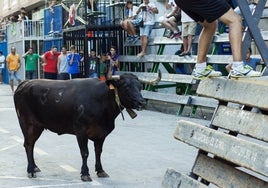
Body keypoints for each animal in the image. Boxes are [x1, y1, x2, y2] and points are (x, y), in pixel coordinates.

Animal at [13, 72, 159, 182]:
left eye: (140, 87)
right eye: (126, 87)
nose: (141, 102)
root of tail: (25, 83)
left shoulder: (101, 133)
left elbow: (98, 152)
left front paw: (100, 170)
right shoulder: (81, 131)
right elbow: (85, 153)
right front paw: (85, 173)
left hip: (38, 126)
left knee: (31, 145)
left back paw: (35, 167)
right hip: (27, 124)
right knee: (28, 145)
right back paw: (31, 170)